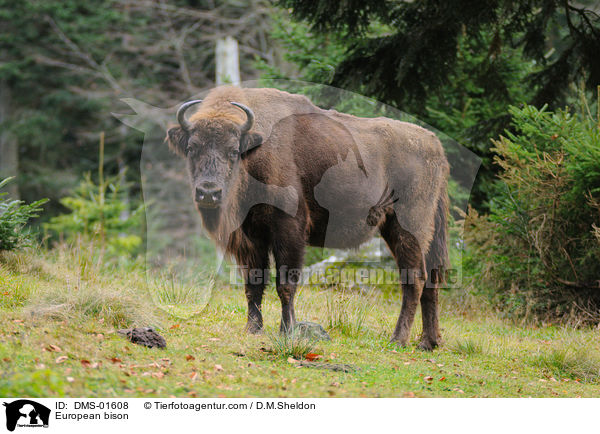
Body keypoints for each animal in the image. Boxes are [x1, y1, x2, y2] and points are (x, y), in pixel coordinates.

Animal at [166, 86, 448, 350]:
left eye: (233, 150)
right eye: (192, 147)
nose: (208, 192)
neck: (256, 150)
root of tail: (435, 146)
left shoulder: (288, 230)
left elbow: (285, 283)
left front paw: (286, 330)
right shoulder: (252, 237)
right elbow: (253, 283)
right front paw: (253, 329)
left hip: (408, 228)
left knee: (414, 279)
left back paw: (398, 339)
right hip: (404, 230)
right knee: (430, 281)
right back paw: (428, 342)